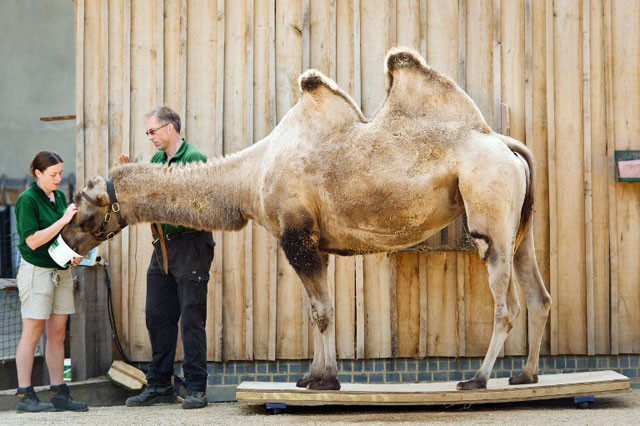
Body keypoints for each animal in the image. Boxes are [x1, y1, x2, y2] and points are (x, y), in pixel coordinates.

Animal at [61, 47, 552, 392]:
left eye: (85, 212)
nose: (65, 240)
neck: (249, 177)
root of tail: (507, 144)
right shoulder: (314, 242)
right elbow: (320, 309)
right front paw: (311, 376)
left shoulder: (296, 235)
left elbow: (321, 311)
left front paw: (325, 380)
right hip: (520, 227)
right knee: (538, 294)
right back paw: (524, 376)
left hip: (488, 211)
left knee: (507, 302)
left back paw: (478, 379)